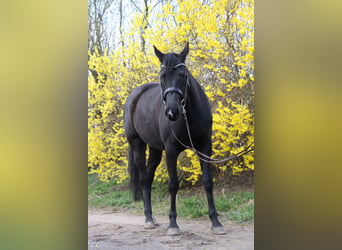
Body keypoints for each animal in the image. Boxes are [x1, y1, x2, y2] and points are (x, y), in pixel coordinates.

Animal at [124, 42, 226, 235]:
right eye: (162, 76)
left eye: (182, 75)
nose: (172, 112)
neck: (188, 115)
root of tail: (134, 95)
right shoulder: (171, 150)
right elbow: (173, 184)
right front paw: (173, 224)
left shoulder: (205, 147)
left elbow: (208, 182)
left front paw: (216, 222)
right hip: (137, 144)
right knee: (143, 178)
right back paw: (148, 219)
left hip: (155, 149)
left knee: (148, 178)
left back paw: (151, 217)